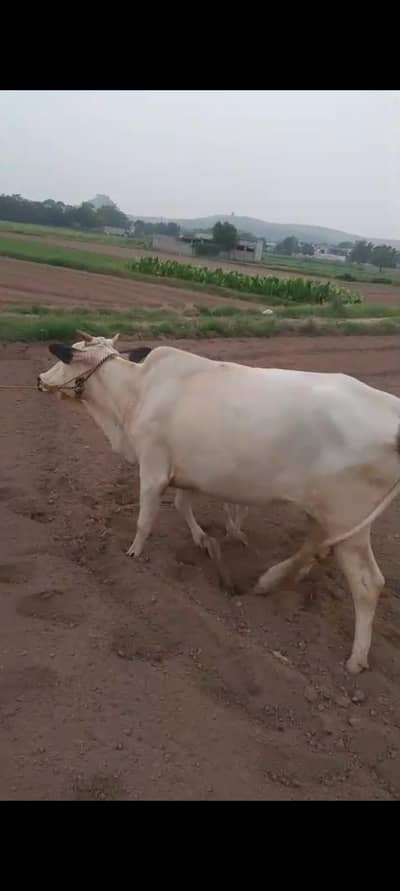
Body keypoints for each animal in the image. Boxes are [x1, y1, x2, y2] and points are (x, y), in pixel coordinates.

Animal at [38, 331, 400, 674]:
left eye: (66, 357)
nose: (40, 379)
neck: (136, 394)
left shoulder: (153, 468)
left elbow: (145, 520)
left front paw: (133, 555)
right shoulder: (187, 473)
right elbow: (183, 505)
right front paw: (206, 540)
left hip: (347, 520)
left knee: (368, 584)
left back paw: (356, 658)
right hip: (328, 513)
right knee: (316, 546)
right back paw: (272, 579)